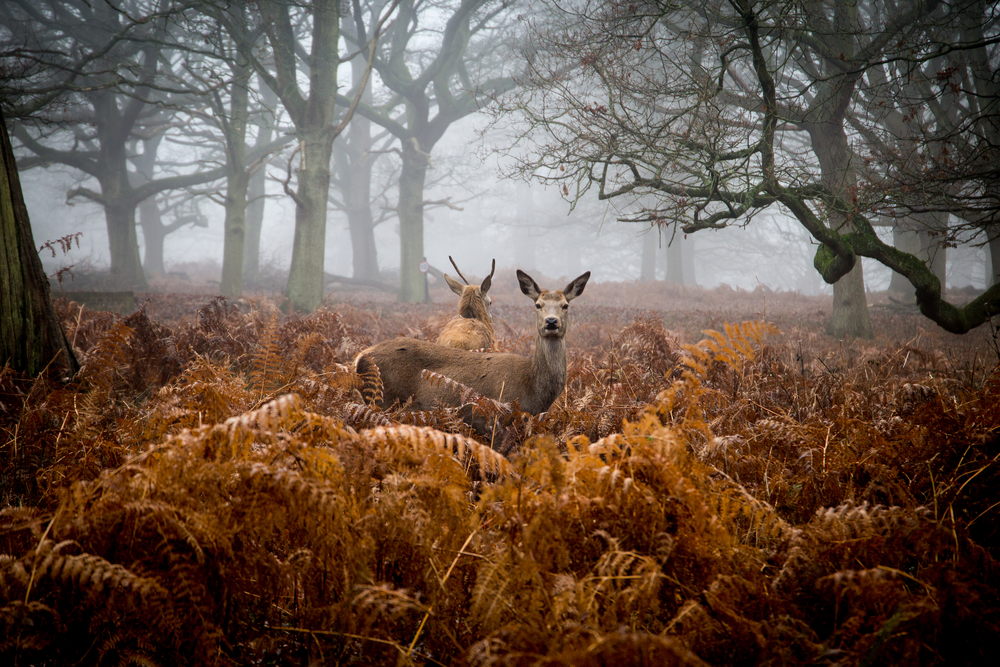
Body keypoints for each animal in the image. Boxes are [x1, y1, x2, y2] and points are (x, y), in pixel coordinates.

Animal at [358, 268, 592, 420]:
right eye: (538, 304)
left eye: (565, 305)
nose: (551, 322)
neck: (533, 390)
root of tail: (360, 356)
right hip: (384, 401)